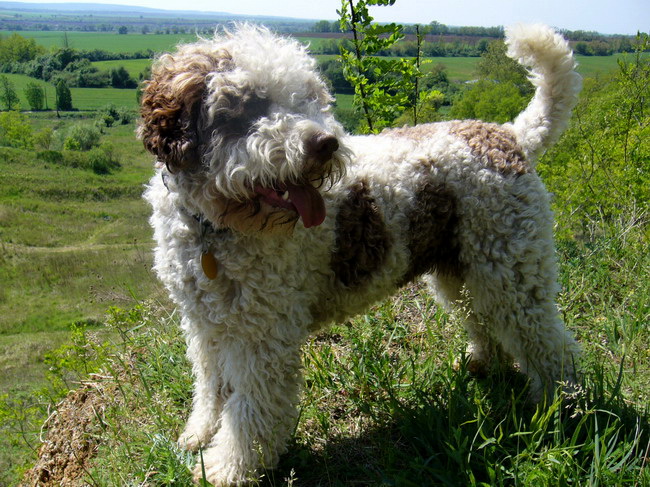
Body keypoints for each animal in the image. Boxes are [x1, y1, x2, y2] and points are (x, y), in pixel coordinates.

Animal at [139, 23, 580, 487]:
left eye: (307, 95)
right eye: (249, 104)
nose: (325, 143)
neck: (212, 227)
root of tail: (509, 135)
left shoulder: (263, 338)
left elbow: (249, 413)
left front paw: (227, 468)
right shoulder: (206, 325)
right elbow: (211, 387)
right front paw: (199, 436)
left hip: (512, 269)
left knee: (549, 345)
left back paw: (558, 408)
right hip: (462, 269)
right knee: (484, 321)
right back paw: (484, 364)